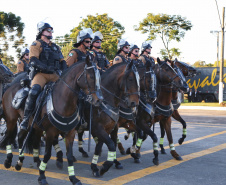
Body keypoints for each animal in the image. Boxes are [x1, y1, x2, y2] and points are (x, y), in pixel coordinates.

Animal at [0, 57, 101, 185]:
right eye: (91, 76)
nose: (98, 100)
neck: (63, 101)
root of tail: (9, 87)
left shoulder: (70, 133)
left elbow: (69, 156)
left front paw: (73, 178)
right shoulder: (50, 133)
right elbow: (47, 155)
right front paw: (42, 176)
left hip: (31, 125)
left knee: (21, 137)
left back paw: (20, 162)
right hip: (11, 120)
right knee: (9, 136)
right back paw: (8, 161)